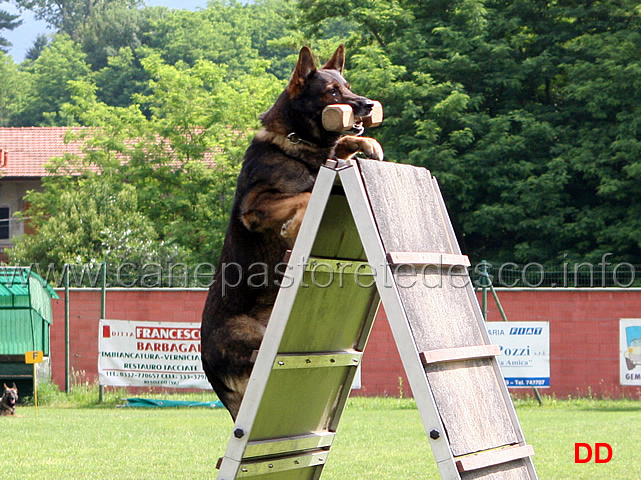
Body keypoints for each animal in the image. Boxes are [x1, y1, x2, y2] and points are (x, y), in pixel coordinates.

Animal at [201, 46, 380, 420]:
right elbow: (305, 194)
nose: (369, 104)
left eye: (348, 86)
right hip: (250, 337)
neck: (297, 144)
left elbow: (342, 145)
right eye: (332, 92)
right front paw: (294, 222)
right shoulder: (256, 206)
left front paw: (367, 142)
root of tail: (208, 366)